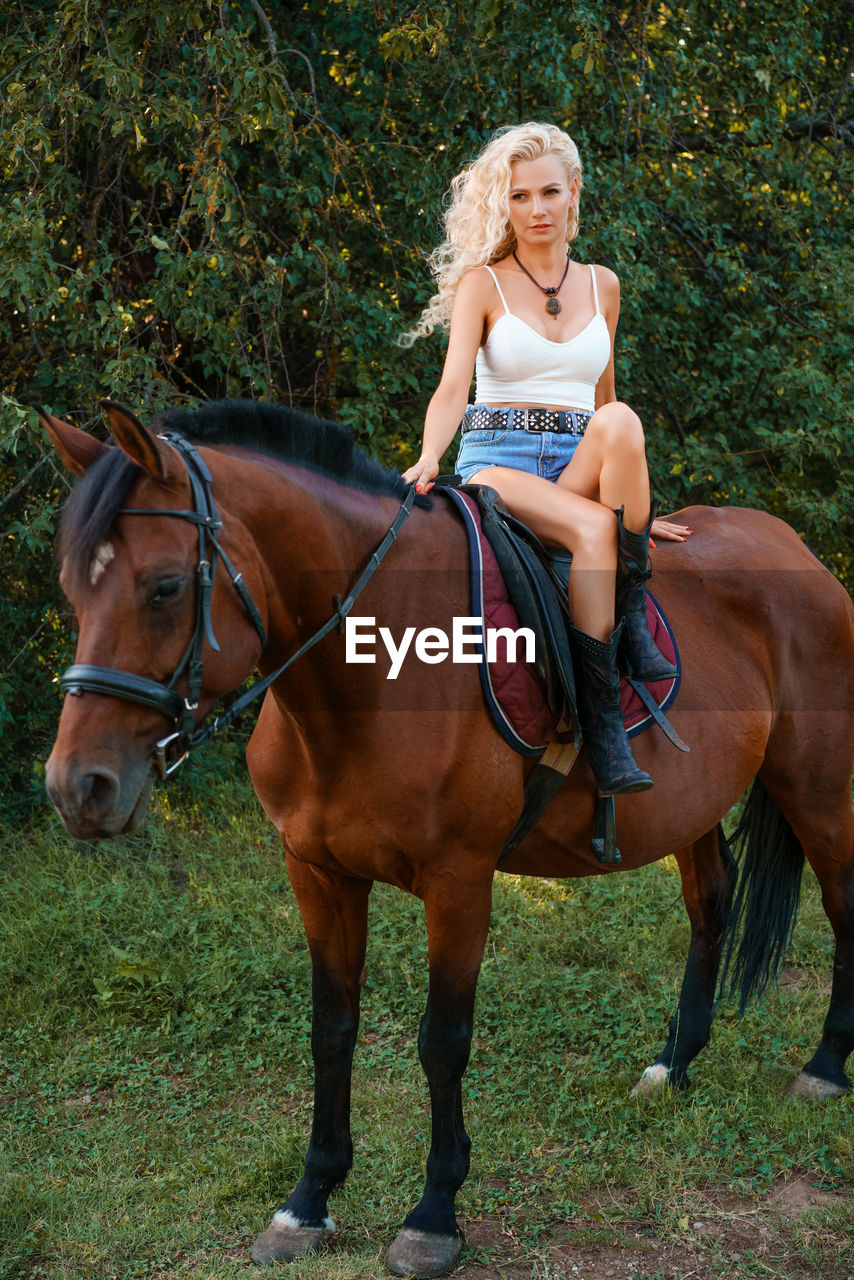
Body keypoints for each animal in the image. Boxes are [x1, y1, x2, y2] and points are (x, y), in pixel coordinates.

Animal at [36, 401, 854, 1280]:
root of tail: (793, 546)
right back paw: (675, 1066)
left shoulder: (460, 882)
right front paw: (307, 1202)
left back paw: (824, 1068)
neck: (370, 673)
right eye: (71, 592)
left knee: (840, 905)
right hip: (692, 808)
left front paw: (433, 1215)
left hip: (816, 786)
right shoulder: (316, 874)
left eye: (163, 587)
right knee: (711, 905)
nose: (79, 788)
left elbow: (443, 1041)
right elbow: (332, 1031)